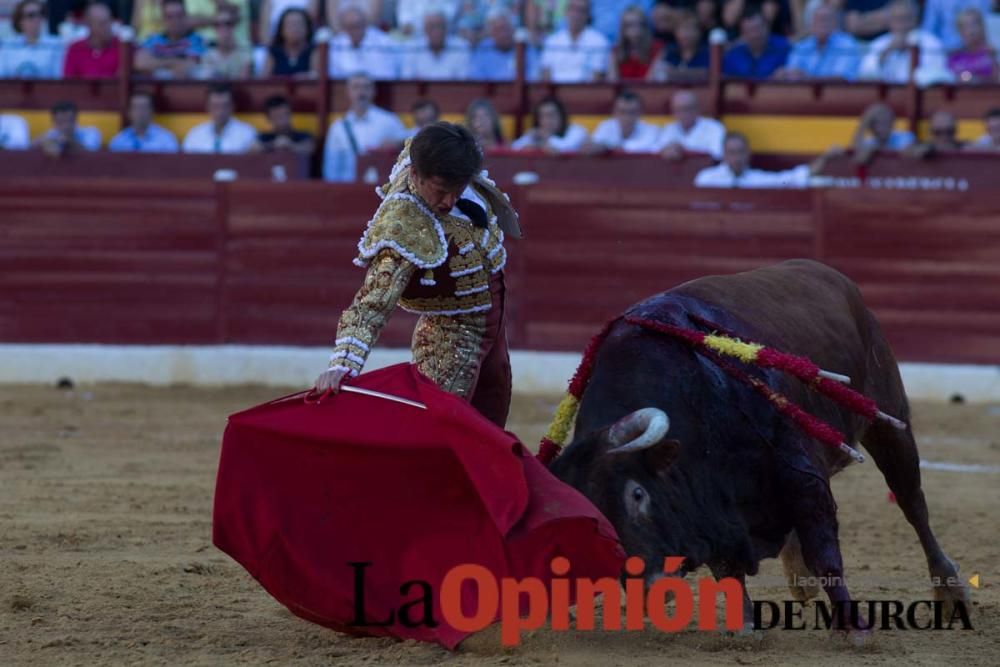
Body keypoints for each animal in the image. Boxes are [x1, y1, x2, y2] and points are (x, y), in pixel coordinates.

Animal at [548, 258, 968, 636]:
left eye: (638, 494)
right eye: (597, 516)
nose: (644, 587)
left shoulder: (801, 476)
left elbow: (825, 553)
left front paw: (854, 629)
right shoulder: (715, 505)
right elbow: (728, 569)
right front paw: (747, 626)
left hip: (888, 419)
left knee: (912, 504)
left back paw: (951, 592)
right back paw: (800, 578)